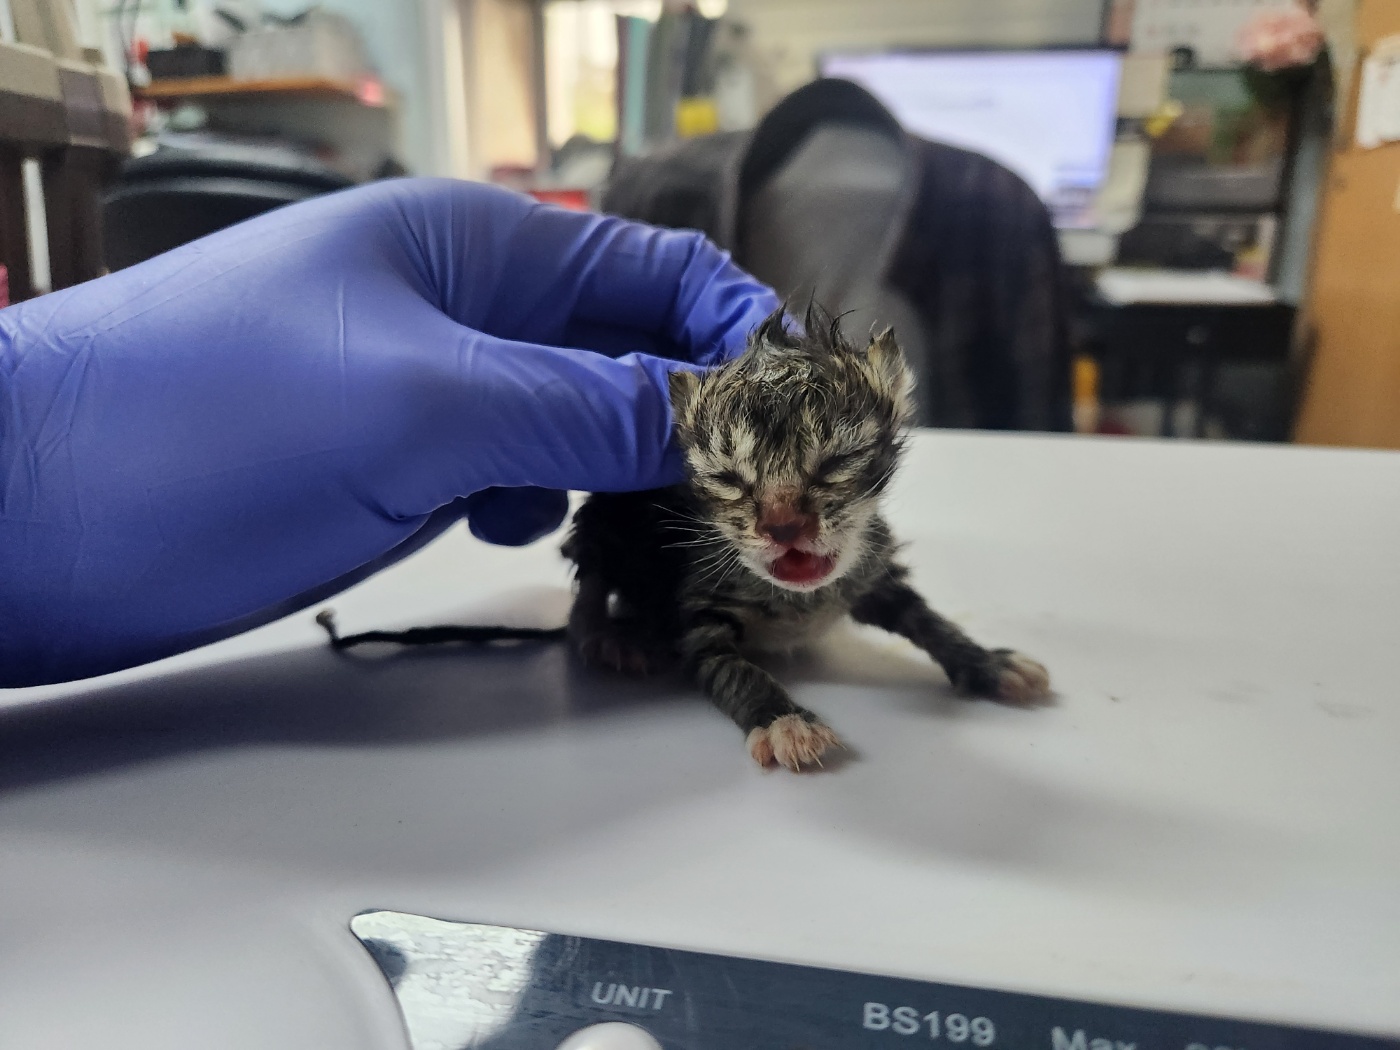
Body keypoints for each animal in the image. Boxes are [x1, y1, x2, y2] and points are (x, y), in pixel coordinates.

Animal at [557, 308, 1052, 767]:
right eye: (728, 479)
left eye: (837, 462)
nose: (783, 524)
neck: (799, 599)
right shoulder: (696, 615)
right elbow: (731, 668)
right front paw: (782, 720)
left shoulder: (870, 572)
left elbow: (927, 619)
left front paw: (986, 662)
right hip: (603, 521)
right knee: (591, 574)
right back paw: (607, 634)